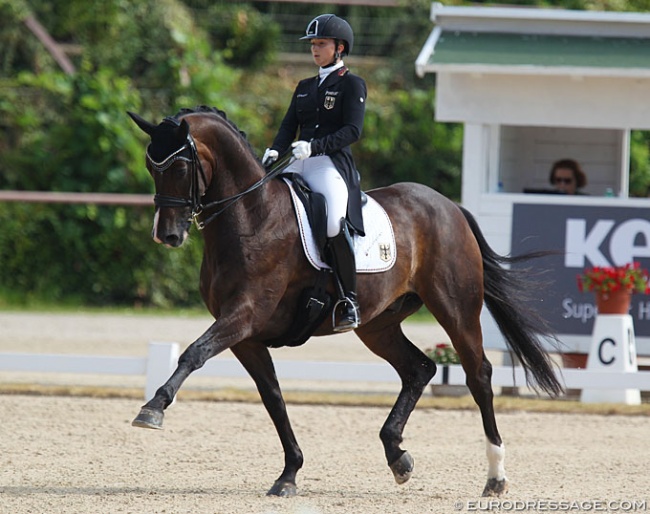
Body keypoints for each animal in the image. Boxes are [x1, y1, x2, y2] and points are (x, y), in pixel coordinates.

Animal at [128, 107, 560, 496]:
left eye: (180, 167)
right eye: (151, 166)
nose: (167, 236)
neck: (252, 216)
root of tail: (449, 206)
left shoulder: (244, 316)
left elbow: (194, 353)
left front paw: (153, 408)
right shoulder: (246, 337)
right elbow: (273, 397)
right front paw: (289, 474)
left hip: (456, 309)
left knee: (478, 375)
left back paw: (495, 476)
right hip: (377, 324)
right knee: (418, 369)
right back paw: (397, 456)